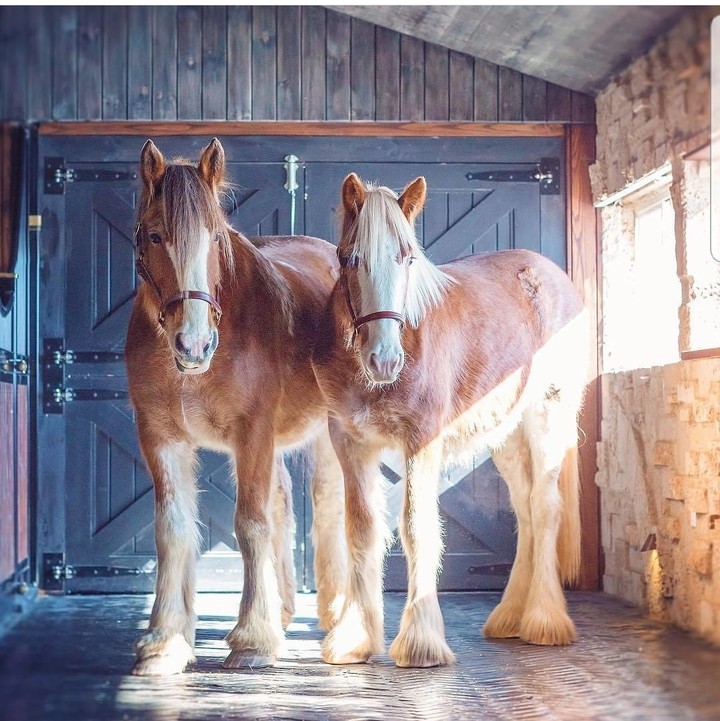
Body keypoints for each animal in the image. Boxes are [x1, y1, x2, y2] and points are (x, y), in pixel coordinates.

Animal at [125, 138, 347, 676]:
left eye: (215, 235)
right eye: (155, 235)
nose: (194, 344)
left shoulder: (253, 433)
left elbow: (249, 524)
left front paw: (251, 642)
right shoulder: (160, 437)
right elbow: (174, 529)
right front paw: (165, 641)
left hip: (328, 434)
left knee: (330, 505)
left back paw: (335, 615)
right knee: (283, 502)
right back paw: (283, 609)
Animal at [311, 173, 588, 668]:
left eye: (408, 257)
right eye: (350, 258)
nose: (384, 360)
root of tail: (553, 276)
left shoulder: (422, 440)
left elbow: (417, 528)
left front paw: (421, 642)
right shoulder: (351, 441)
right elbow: (361, 530)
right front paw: (354, 638)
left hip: (548, 416)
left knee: (545, 506)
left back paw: (544, 620)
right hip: (507, 435)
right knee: (525, 509)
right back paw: (510, 616)